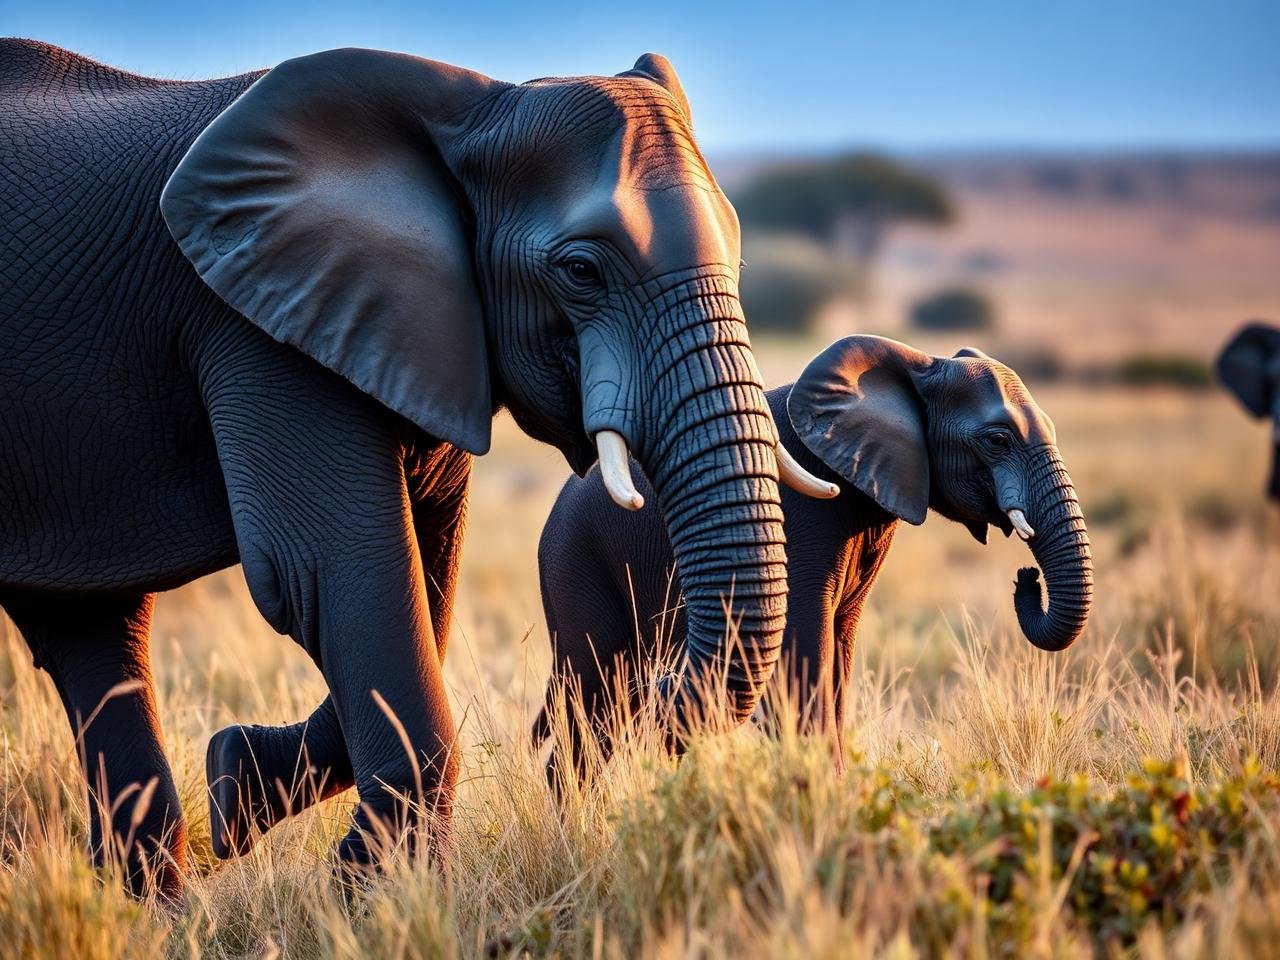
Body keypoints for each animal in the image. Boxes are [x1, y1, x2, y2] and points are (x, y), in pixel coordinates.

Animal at [0, 39, 834, 898]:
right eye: (581, 271)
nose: (654, 689)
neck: (470, 109)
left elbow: (422, 579)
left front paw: (240, 785)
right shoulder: (258, 333)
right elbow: (322, 574)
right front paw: (376, 899)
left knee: (91, 625)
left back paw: (160, 906)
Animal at [532, 336, 1094, 785]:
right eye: (997, 439)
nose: (1026, 578)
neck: (915, 363)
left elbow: (839, 648)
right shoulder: (802, 519)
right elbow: (807, 648)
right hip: (576, 564)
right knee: (593, 697)